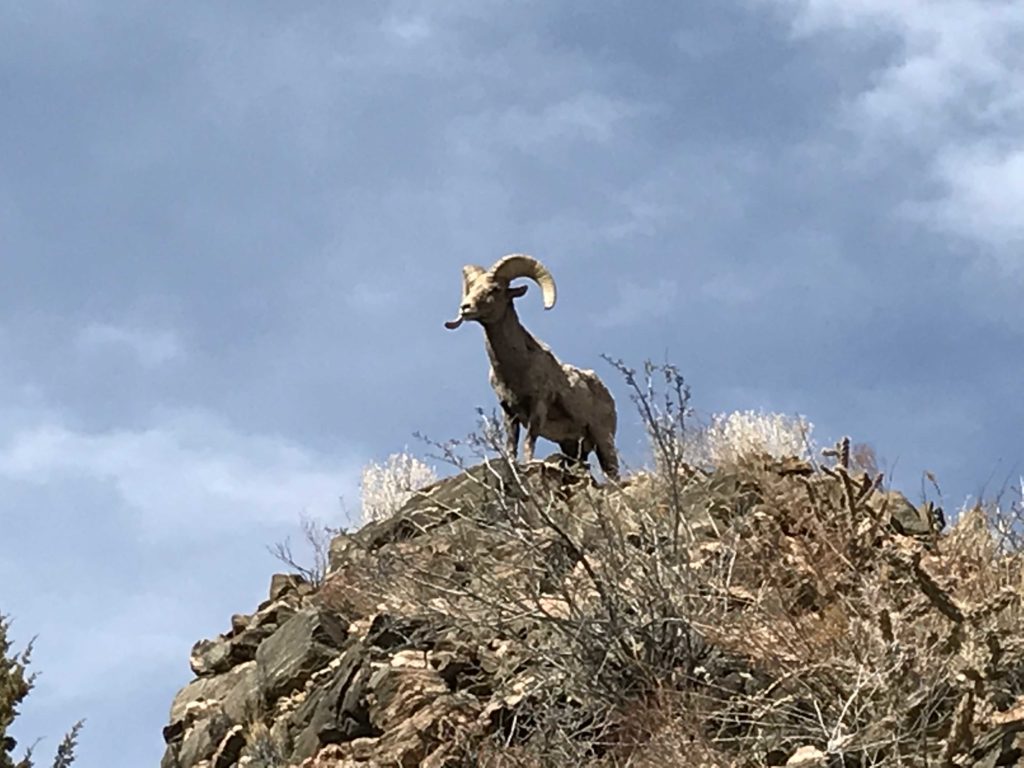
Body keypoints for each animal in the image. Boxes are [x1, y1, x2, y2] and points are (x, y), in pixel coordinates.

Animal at [440, 256, 614, 479]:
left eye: (495, 289)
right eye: (472, 288)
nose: (465, 307)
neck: (516, 369)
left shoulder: (538, 408)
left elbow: (528, 441)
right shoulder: (509, 412)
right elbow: (511, 445)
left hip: (603, 441)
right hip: (572, 446)